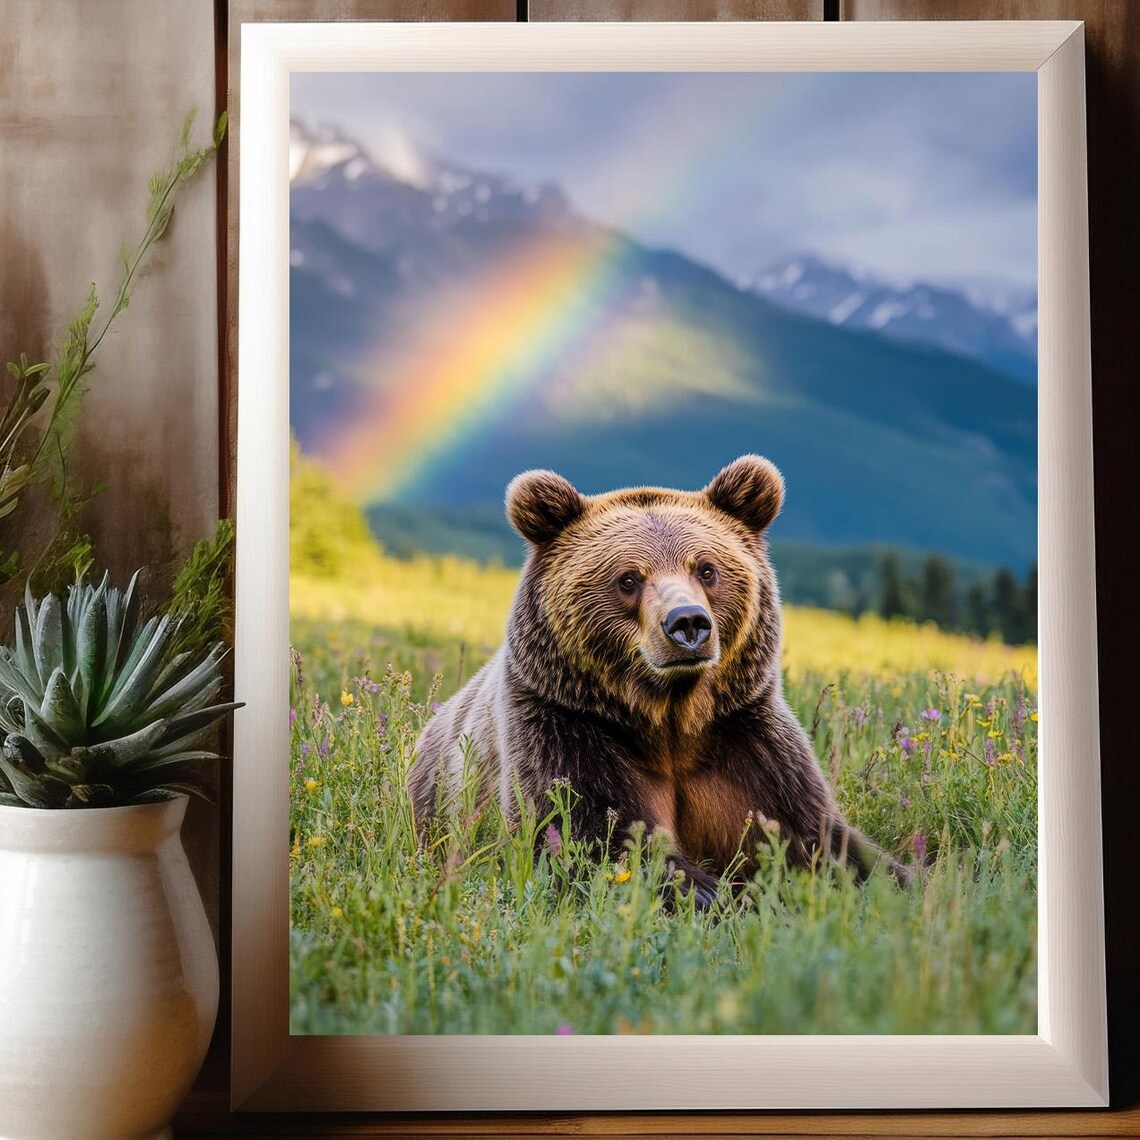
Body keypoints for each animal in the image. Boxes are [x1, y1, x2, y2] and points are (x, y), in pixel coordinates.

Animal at [408, 455, 904, 904]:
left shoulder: (746, 741)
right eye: (628, 578)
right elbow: (590, 837)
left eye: (707, 568)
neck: (671, 719)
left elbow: (818, 839)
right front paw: (718, 895)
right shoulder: (563, 727)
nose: (687, 623)